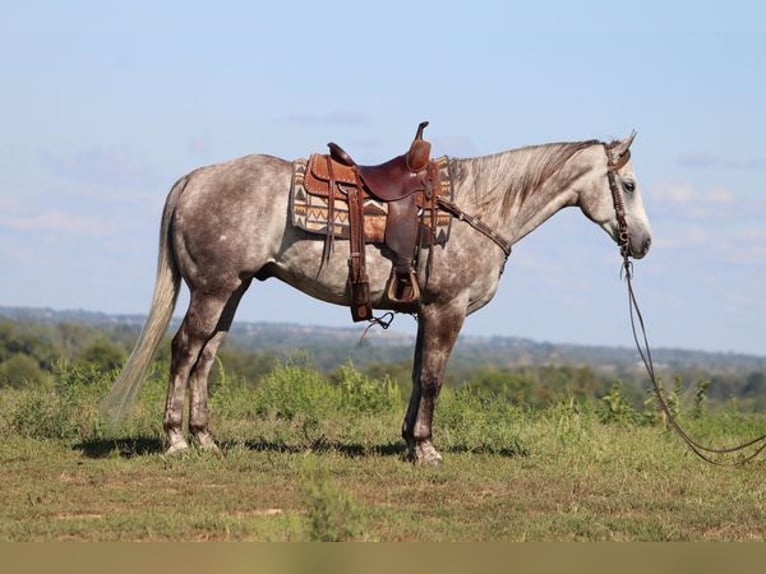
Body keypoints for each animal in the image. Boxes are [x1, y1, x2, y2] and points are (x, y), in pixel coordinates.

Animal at [103, 129, 656, 464]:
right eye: (628, 184)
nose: (645, 244)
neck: (477, 208)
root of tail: (195, 178)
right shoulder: (447, 309)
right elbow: (433, 378)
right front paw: (427, 449)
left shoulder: (426, 311)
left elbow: (417, 375)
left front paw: (409, 441)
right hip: (212, 289)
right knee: (183, 350)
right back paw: (176, 440)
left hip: (232, 290)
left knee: (206, 356)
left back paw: (205, 438)